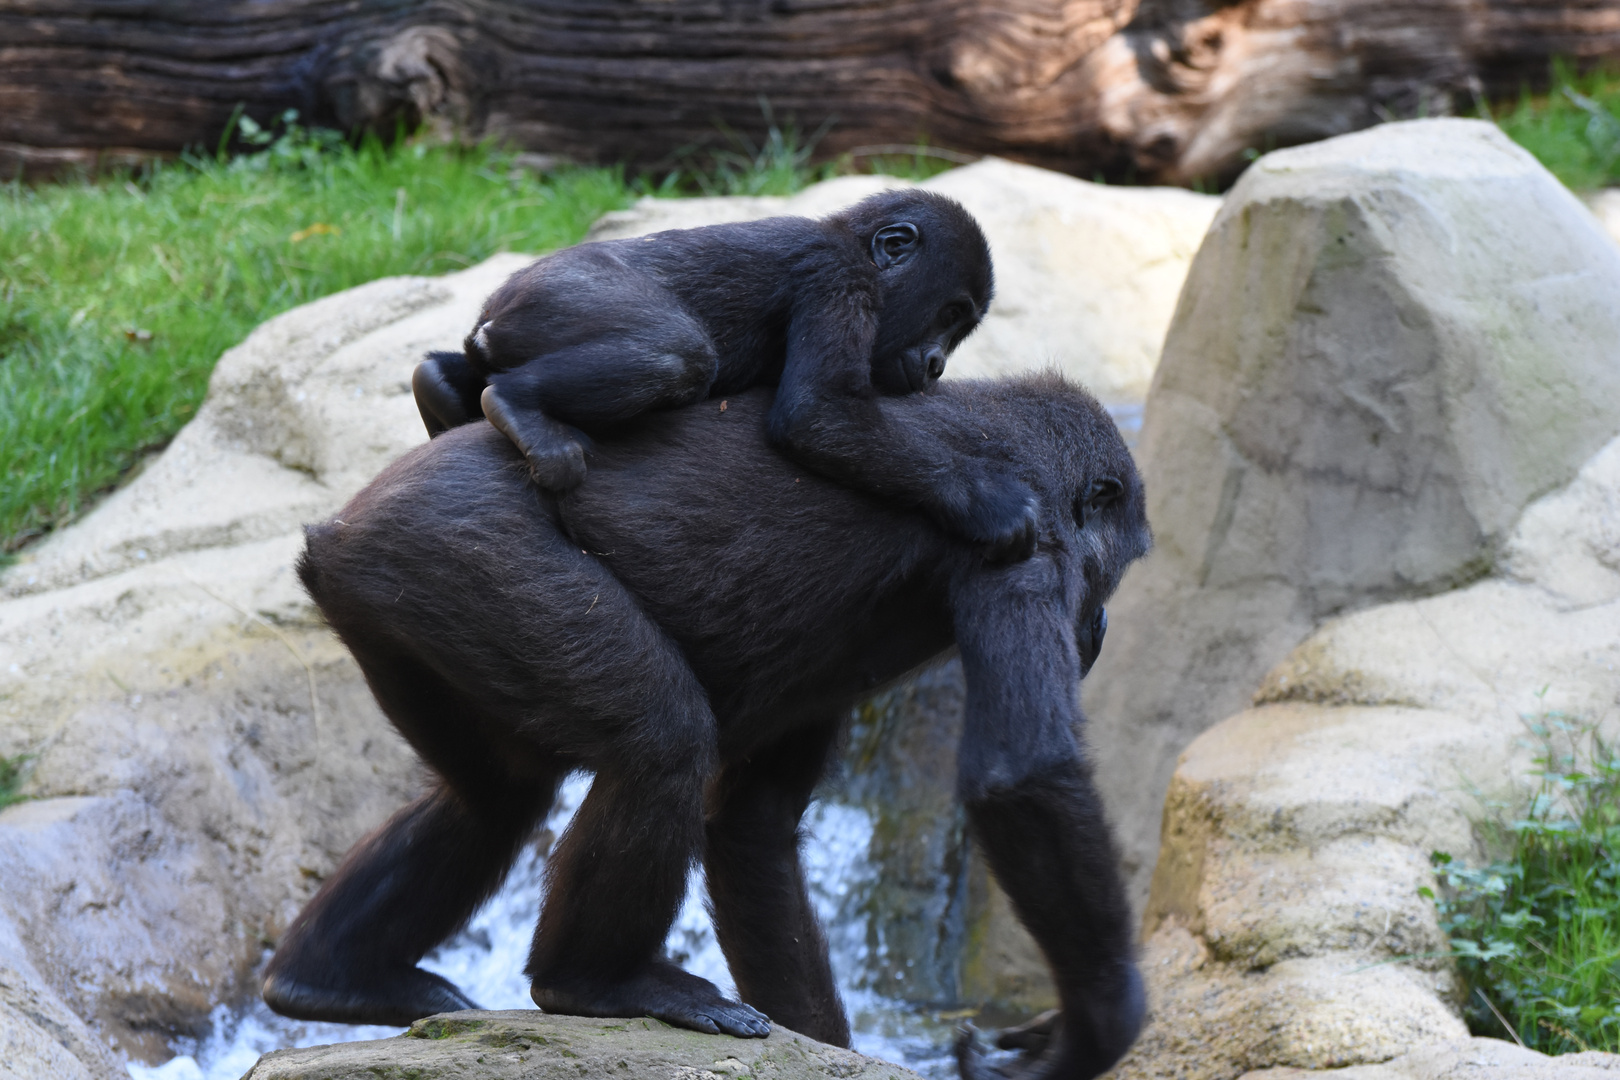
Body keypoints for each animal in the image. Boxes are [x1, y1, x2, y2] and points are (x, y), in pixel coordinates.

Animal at [268, 374, 1153, 1080]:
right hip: (463, 552)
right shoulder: (1030, 534)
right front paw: (1092, 1027)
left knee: (494, 794)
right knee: (657, 740)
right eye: (1123, 567)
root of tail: (341, 525)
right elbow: (1023, 773)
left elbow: (754, 826)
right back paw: (593, 983)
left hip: (392, 601)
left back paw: (333, 976)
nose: (1105, 622)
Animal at [417, 193, 1036, 563]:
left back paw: (440, 389)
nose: (936, 365)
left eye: (959, 331)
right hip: (559, 292)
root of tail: (495, 307)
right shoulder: (838, 276)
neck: (854, 242)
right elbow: (818, 411)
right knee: (678, 352)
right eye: (949, 315)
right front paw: (985, 500)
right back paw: (518, 407)